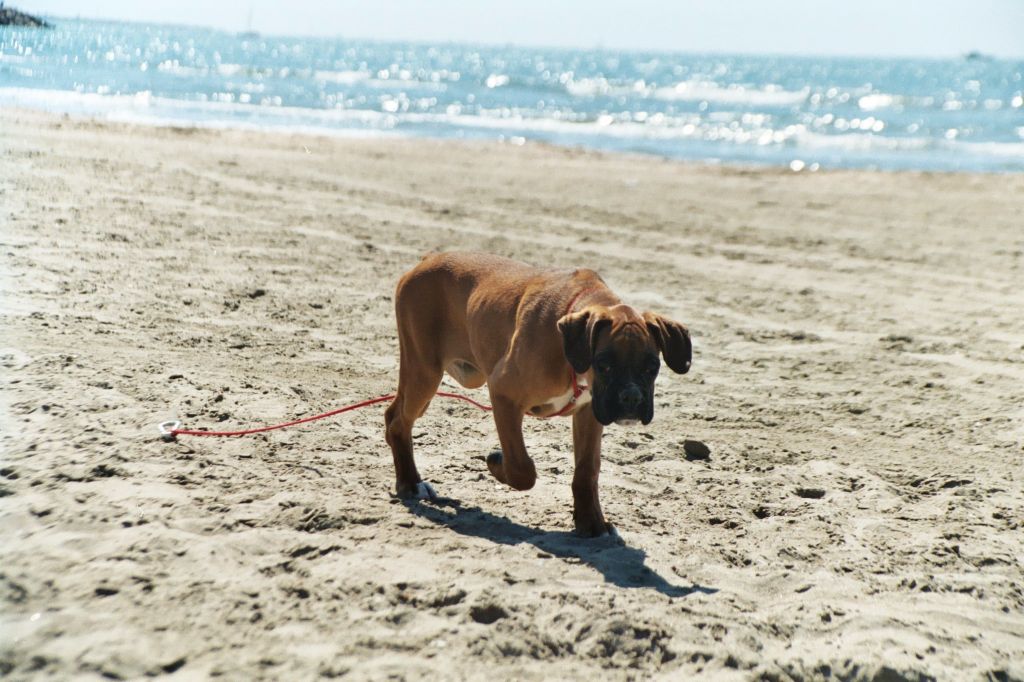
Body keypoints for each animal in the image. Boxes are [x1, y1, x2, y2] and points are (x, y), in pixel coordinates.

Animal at [385, 251, 696, 532]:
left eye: (652, 367)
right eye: (604, 365)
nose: (631, 397)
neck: (569, 352)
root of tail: (427, 259)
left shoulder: (589, 412)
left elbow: (587, 471)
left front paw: (591, 523)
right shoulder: (503, 394)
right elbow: (522, 468)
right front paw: (497, 463)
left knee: (393, 414)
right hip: (425, 374)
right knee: (399, 422)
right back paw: (411, 483)